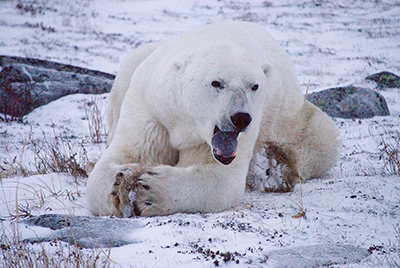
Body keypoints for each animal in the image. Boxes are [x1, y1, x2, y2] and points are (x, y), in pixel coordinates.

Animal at [86, 21, 340, 218]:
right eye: (216, 83)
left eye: (254, 86)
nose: (241, 118)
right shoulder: (152, 108)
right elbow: (123, 156)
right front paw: (123, 183)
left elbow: (220, 178)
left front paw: (149, 191)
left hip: (289, 115)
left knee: (322, 136)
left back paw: (274, 166)